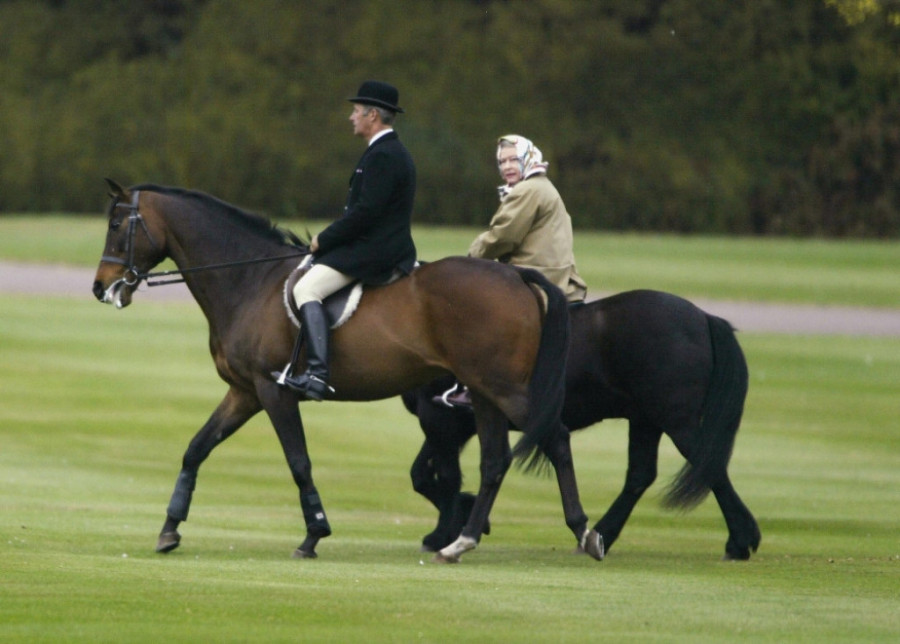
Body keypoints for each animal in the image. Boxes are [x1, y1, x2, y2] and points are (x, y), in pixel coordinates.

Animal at [91, 179, 604, 563]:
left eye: (117, 225)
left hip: (504, 388)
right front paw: (170, 529)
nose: (101, 288)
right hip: (481, 393)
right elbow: (196, 449)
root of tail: (516, 275)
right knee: (495, 461)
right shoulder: (245, 392)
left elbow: (298, 461)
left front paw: (314, 533)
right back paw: (463, 541)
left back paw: (583, 532)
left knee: (555, 438)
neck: (249, 281)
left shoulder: (273, 392)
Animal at [403, 291, 762, 560]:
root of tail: (702, 317)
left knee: (707, 465)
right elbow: (421, 475)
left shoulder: (439, 421)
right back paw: (605, 534)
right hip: (646, 420)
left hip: (676, 420)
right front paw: (464, 516)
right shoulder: (452, 426)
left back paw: (739, 540)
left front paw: (445, 531)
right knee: (641, 475)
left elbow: (444, 476)